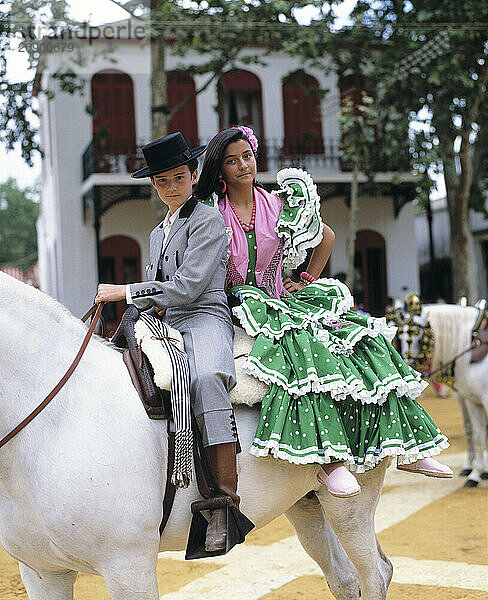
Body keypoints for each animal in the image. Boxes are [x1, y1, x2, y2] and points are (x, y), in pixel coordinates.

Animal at [0, 272, 392, 600]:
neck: (58, 419)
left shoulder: (129, 568)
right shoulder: (42, 572)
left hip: (352, 507)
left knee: (376, 574)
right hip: (306, 502)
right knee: (345, 579)